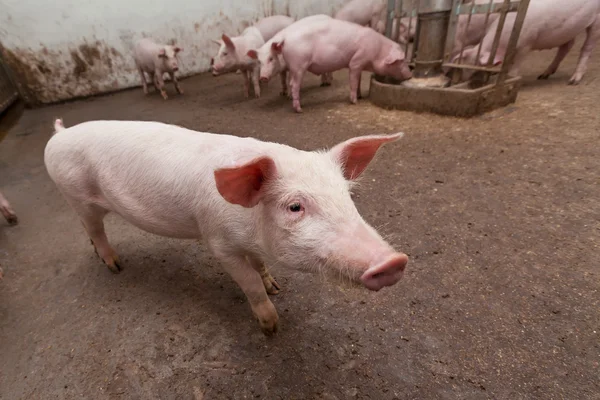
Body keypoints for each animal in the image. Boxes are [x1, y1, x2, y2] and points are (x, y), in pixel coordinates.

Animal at [42, 118, 408, 334]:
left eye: (347, 195)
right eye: (295, 206)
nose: (394, 261)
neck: (249, 225)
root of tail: (59, 133)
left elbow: (259, 266)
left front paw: (276, 286)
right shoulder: (218, 242)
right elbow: (248, 282)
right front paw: (271, 326)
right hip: (75, 195)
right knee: (94, 229)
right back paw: (115, 266)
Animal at [454, 0, 600, 84]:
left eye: (475, 65)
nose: (461, 80)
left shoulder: (527, 43)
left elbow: (517, 62)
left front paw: (509, 78)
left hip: (596, 21)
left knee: (586, 47)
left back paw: (573, 81)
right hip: (569, 29)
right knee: (567, 46)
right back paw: (543, 75)